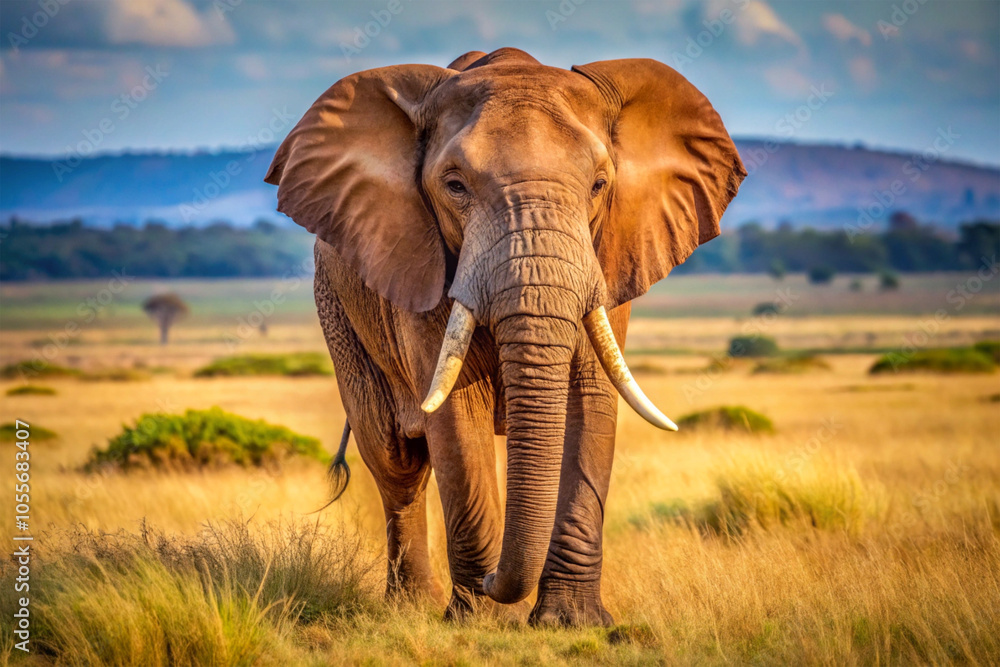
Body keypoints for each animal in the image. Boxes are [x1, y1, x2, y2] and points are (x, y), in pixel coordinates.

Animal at [265, 47, 745, 626]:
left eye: (599, 185)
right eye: (454, 186)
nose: (497, 581)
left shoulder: (607, 264)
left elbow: (591, 400)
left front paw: (572, 622)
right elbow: (456, 414)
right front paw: (481, 621)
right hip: (338, 311)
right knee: (396, 463)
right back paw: (412, 608)